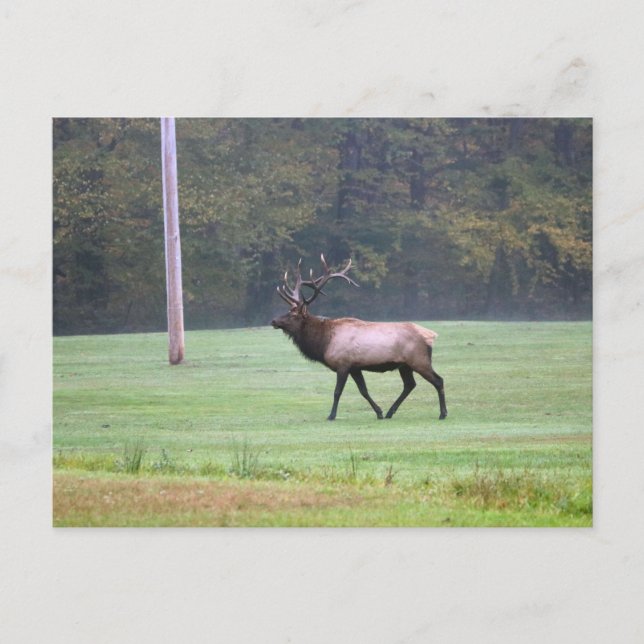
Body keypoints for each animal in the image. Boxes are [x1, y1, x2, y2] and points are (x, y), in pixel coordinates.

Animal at [271, 255, 447, 422]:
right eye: (288, 311)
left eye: (294, 315)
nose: (273, 321)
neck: (324, 342)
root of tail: (430, 335)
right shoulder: (355, 367)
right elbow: (364, 391)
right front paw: (379, 412)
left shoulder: (343, 364)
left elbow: (337, 391)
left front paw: (331, 415)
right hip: (404, 365)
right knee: (410, 385)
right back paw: (390, 412)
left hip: (419, 359)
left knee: (438, 380)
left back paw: (442, 413)